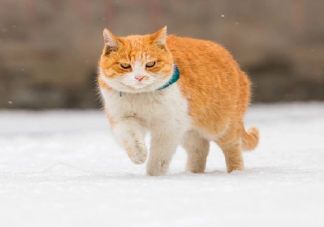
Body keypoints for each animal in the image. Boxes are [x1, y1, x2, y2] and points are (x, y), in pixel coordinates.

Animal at [97, 26, 260, 176]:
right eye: (125, 66)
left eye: (150, 64)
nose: (139, 77)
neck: (141, 96)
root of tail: (236, 66)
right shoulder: (122, 119)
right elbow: (131, 138)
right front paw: (139, 155)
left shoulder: (168, 125)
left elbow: (159, 155)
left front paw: (154, 175)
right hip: (189, 130)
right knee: (199, 149)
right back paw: (192, 173)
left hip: (220, 126)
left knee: (232, 147)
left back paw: (235, 172)